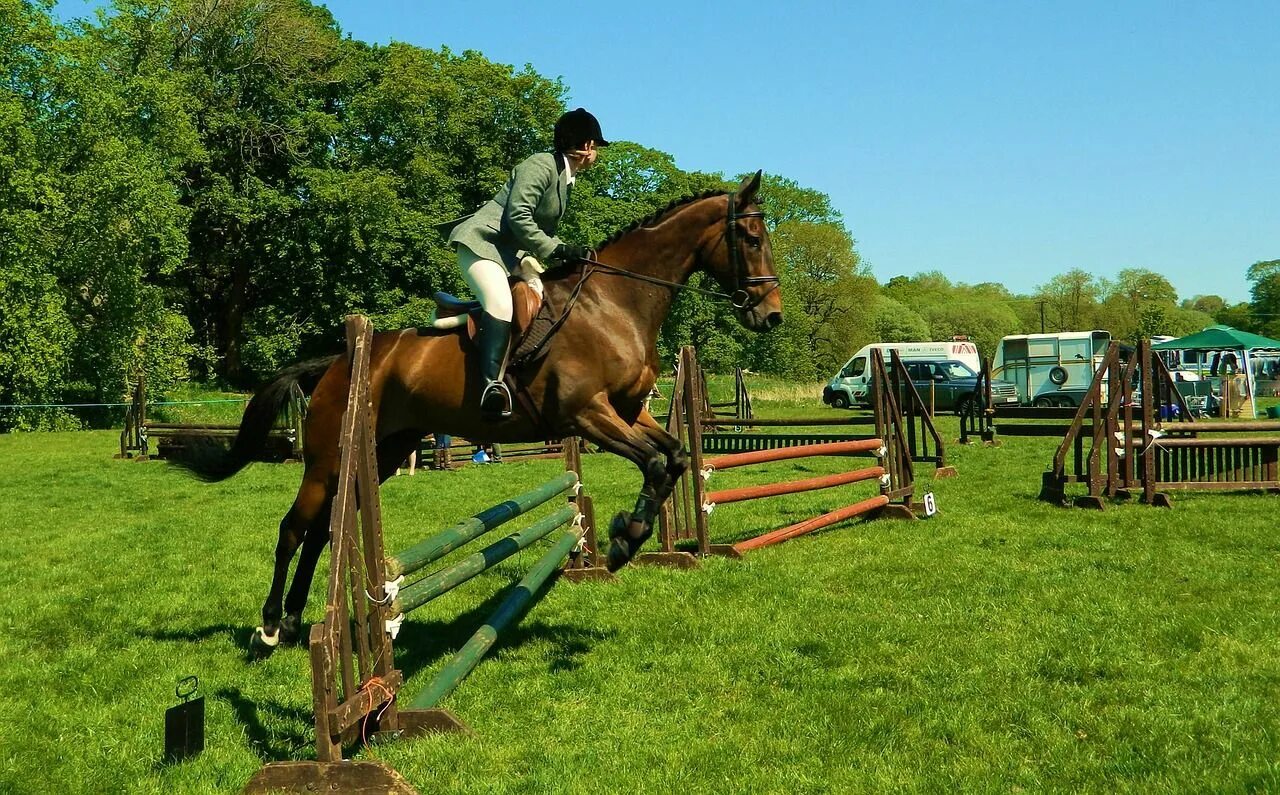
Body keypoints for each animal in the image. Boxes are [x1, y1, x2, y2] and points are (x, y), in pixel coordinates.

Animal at [175, 170, 778, 655]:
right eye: (752, 238)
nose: (771, 316)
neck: (614, 304)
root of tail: (340, 361)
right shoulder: (587, 416)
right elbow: (654, 463)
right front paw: (622, 540)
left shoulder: (630, 414)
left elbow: (674, 457)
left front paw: (628, 534)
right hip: (328, 460)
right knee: (294, 529)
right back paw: (270, 627)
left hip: (380, 454)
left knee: (323, 533)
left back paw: (297, 621)